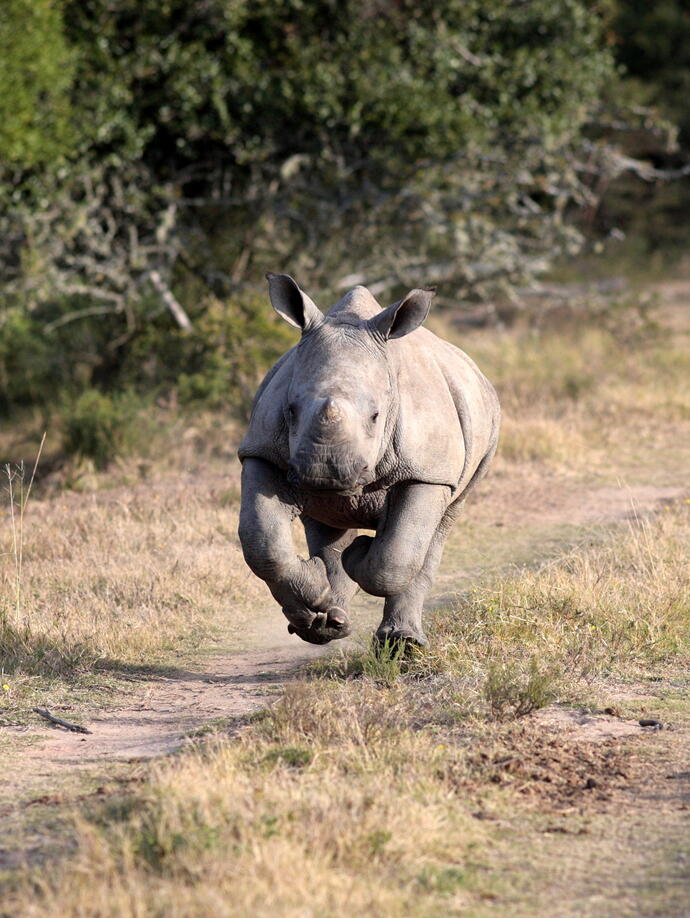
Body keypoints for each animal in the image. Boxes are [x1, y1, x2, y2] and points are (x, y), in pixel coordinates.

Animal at [238, 274, 500, 648]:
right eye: (291, 410)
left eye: (376, 416)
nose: (326, 473)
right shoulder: (262, 452)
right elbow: (262, 542)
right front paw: (318, 587)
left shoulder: (427, 471)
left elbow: (396, 556)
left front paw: (359, 552)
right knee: (326, 521)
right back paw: (324, 619)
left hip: (477, 446)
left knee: (436, 530)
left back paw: (402, 645)